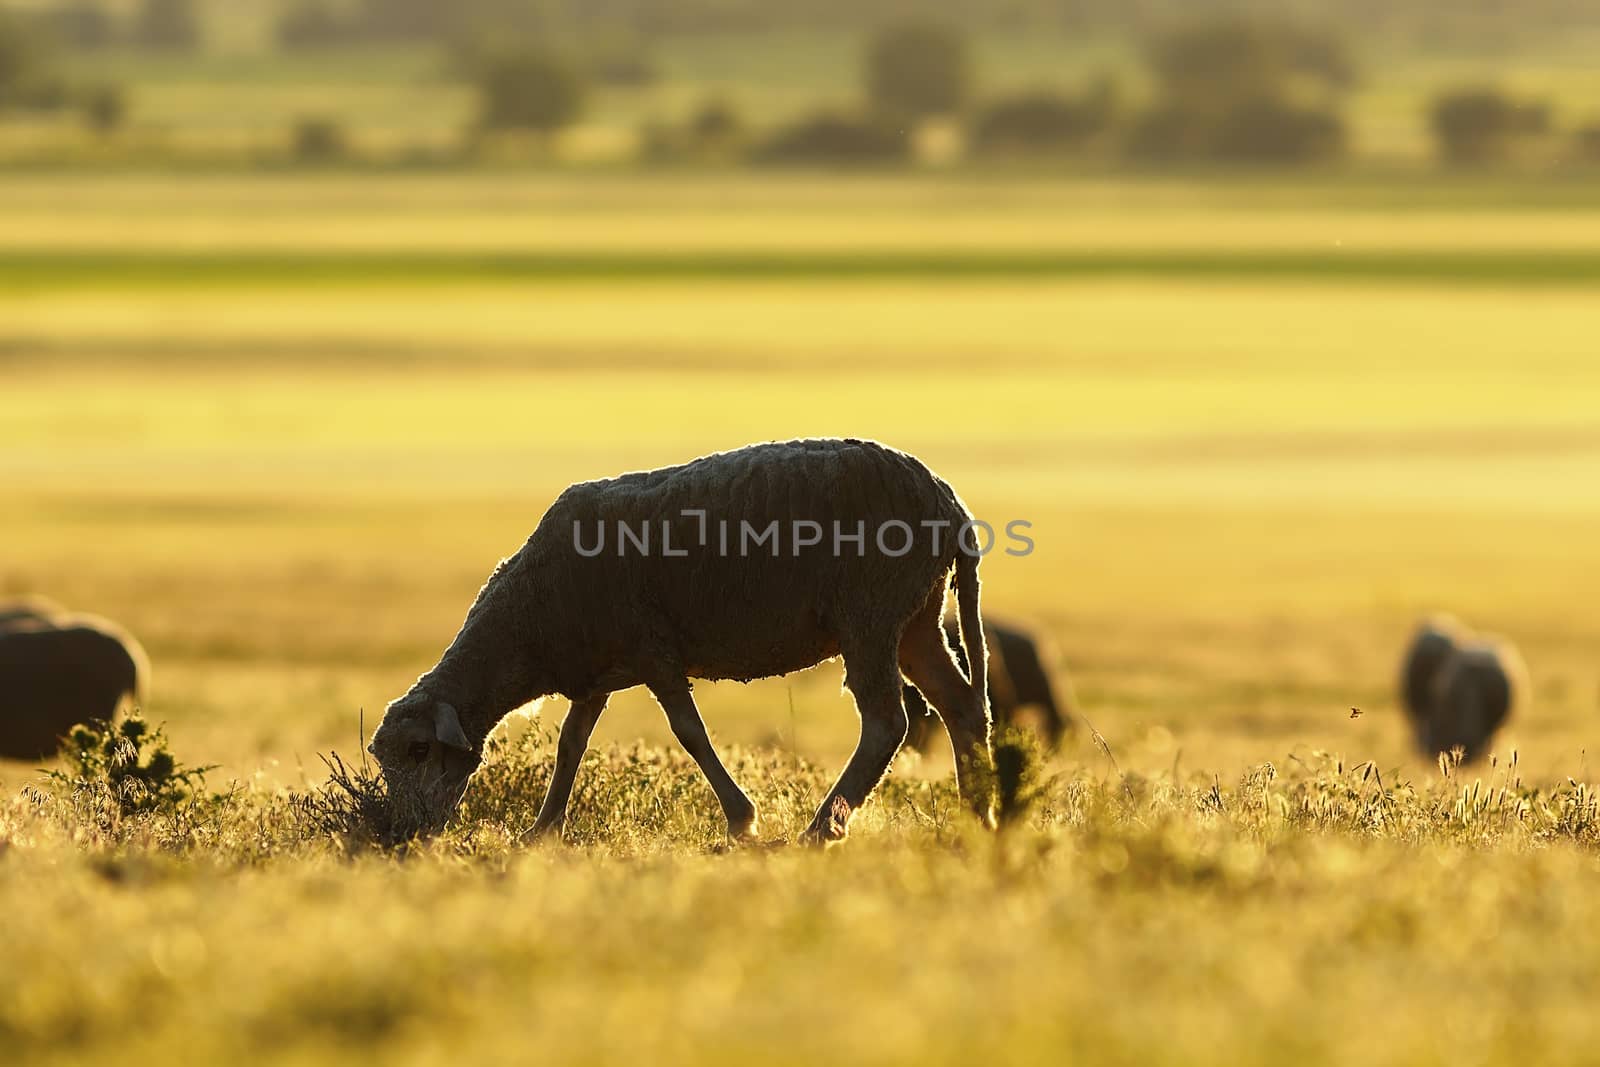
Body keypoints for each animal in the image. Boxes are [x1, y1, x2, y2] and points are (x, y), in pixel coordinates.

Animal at [372, 438, 992, 844]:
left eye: (420, 750)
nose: (399, 832)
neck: (529, 619)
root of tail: (948, 503)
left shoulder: (654, 653)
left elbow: (689, 733)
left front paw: (742, 821)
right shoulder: (598, 673)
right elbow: (571, 745)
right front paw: (541, 830)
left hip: (870, 614)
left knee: (888, 721)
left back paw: (822, 829)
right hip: (916, 617)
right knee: (961, 706)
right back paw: (977, 819)